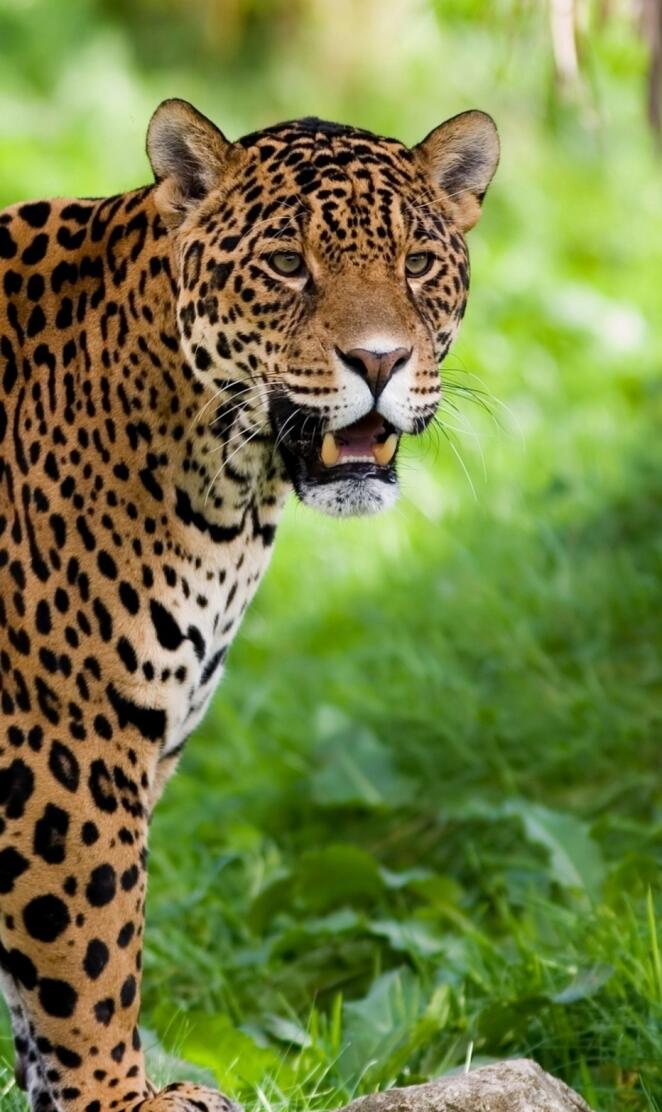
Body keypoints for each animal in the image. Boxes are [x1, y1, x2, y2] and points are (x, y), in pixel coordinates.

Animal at [0, 98, 499, 1111]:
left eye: (417, 264)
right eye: (285, 264)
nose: (380, 360)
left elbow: (39, 1005)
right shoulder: (62, 746)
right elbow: (89, 950)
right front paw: (124, 1100)